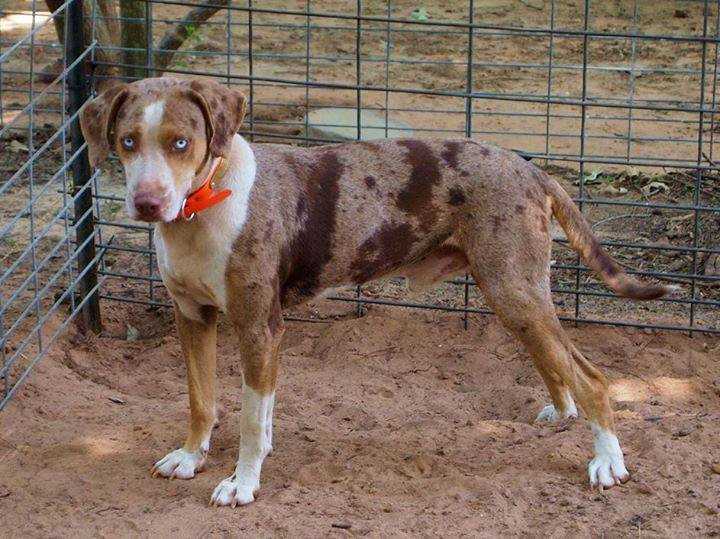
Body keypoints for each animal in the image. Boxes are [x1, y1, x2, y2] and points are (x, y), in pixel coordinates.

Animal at [81, 78, 672, 508]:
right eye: (127, 142)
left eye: (181, 143)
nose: (147, 203)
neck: (206, 205)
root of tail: (530, 170)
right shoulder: (193, 316)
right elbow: (202, 400)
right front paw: (191, 457)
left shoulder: (257, 326)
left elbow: (250, 419)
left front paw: (243, 483)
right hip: (511, 293)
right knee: (555, 360)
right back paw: (562, 413)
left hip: (515, 290)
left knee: (593, 377)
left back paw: (607, 461)